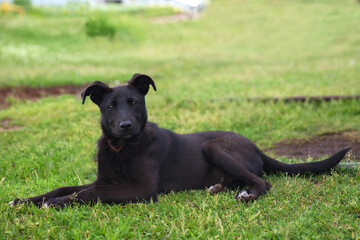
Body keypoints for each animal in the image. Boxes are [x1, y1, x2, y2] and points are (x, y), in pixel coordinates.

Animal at [10, 73, 348, 208]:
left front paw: (55, 204)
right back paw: (219, 188)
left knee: (262, 181)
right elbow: (67, 187)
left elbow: (89, 193)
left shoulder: (142, 189)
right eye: (110, 107)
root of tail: (257, 147)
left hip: (214, 146)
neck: (122, 149)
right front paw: (26, 200)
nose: (125, 126)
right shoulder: (106, 178)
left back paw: (246, 194)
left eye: (134, 102)